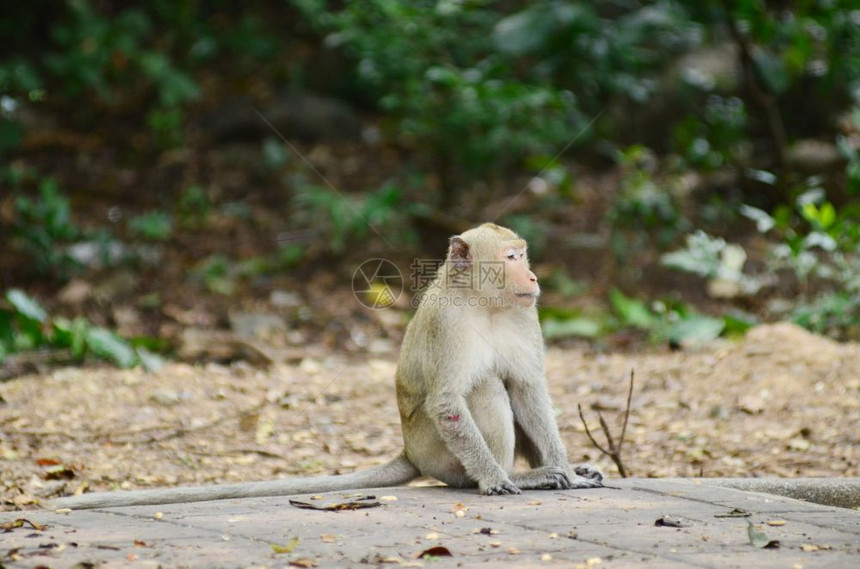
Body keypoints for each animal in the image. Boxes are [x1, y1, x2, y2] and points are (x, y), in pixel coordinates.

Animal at [53, 220, 600, 508]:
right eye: (511, 257)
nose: (532, 276)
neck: (485, 304)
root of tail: (410, 451)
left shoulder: (525, 315)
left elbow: (529, 388)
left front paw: (567, 471)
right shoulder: (449, 324)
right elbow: (449, 401)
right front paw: (497, 478)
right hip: (436, 451)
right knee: (483, 389)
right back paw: (513, 476)